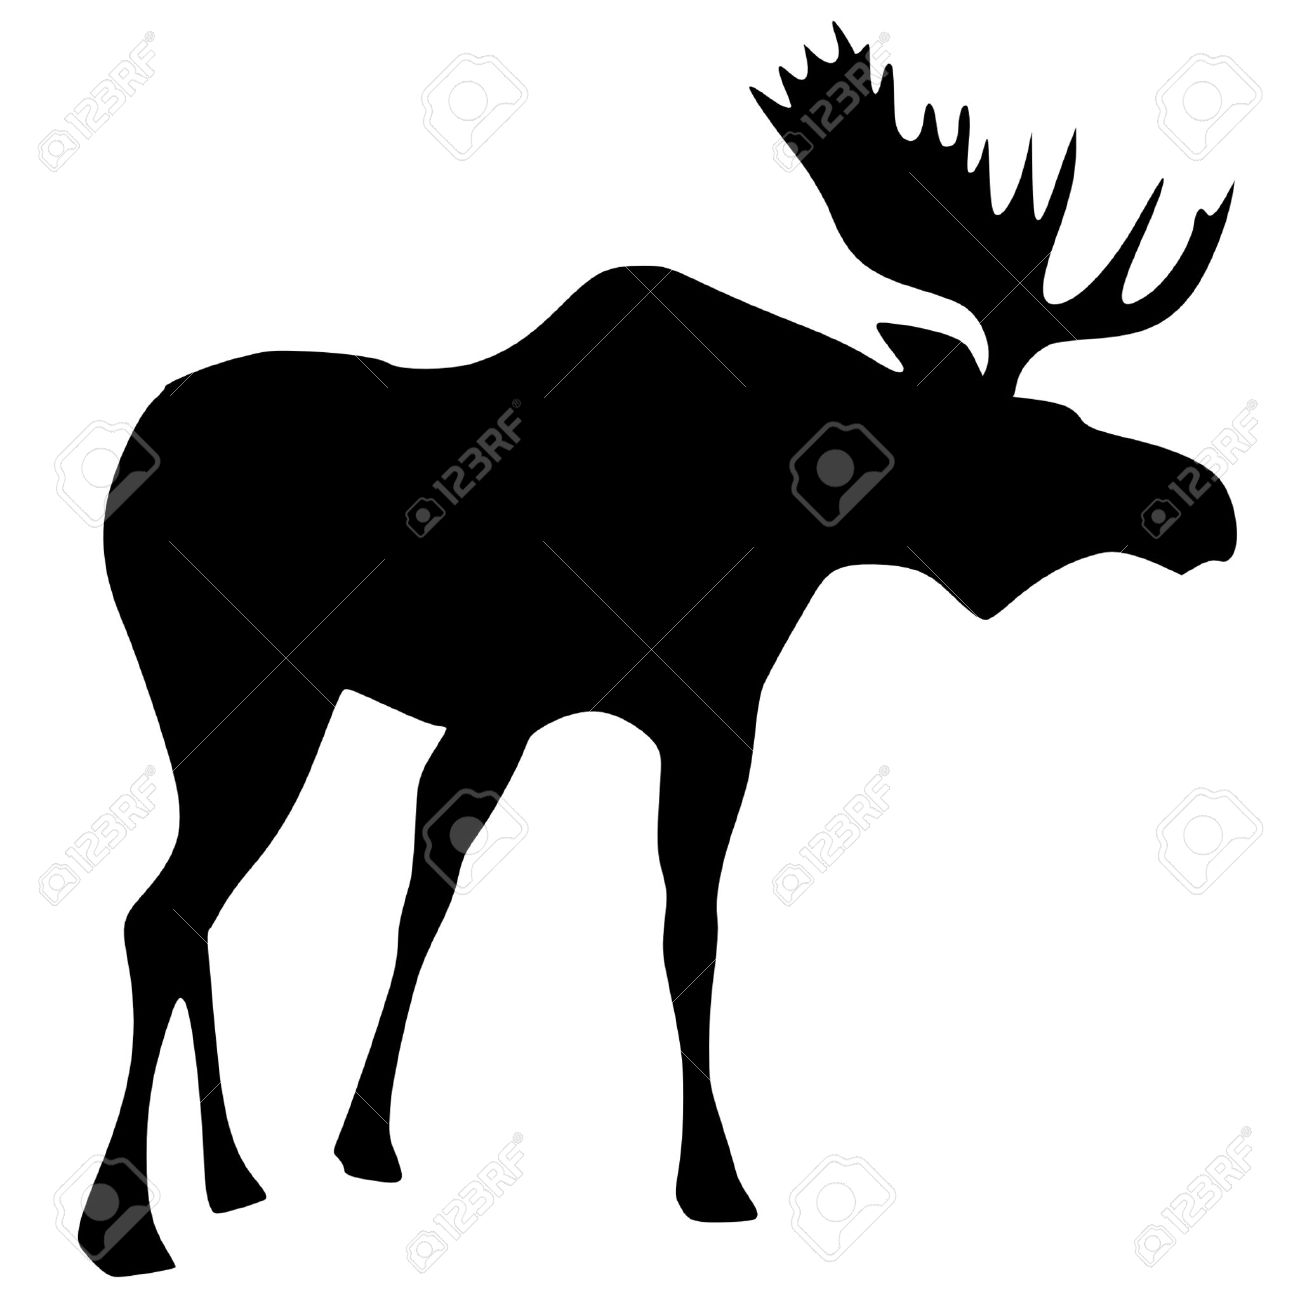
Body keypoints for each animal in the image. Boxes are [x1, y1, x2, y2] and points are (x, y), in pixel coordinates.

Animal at [78, 25, 1236, 1275]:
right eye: (1043, 434)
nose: (1206, 503)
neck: (792, 497)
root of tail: (126, 466)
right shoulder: (705, 710)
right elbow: (691, 932)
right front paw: (712, 1178)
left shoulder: (501, 715)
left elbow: (425, 898)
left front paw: (365, 1139)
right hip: (242, 689)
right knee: (159, 911)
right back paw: (125, 1220)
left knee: (193, 910)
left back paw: (230, 1177)